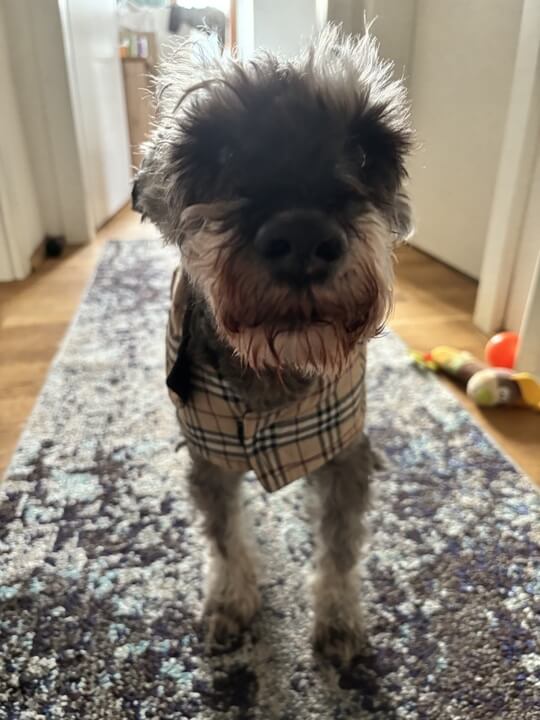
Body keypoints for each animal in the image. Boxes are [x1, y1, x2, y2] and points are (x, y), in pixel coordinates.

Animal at [133, 28, 412, 668]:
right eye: (216, 150)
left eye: (366, 148)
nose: (303, 238)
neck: (277, 366)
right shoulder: (208, 455)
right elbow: (224, 535)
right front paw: (230, 601)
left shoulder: (343, 452)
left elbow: (340, 544)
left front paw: (339, 618)